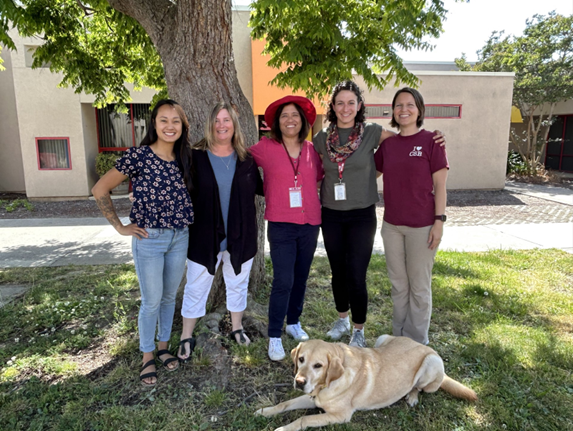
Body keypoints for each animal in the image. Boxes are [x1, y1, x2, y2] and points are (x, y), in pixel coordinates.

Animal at [256, 338, 476, 431]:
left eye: (318, 365)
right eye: (301, 359)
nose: (299, 382)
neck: (326, 384)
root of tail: (424, 345)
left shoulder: (340, 416)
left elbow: (303, 419)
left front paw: (282, 429)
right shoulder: (312, 397)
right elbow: (284, 404)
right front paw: (264, 411)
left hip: (431, 364)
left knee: (418, 387)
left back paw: (412, 396)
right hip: (382, 339)